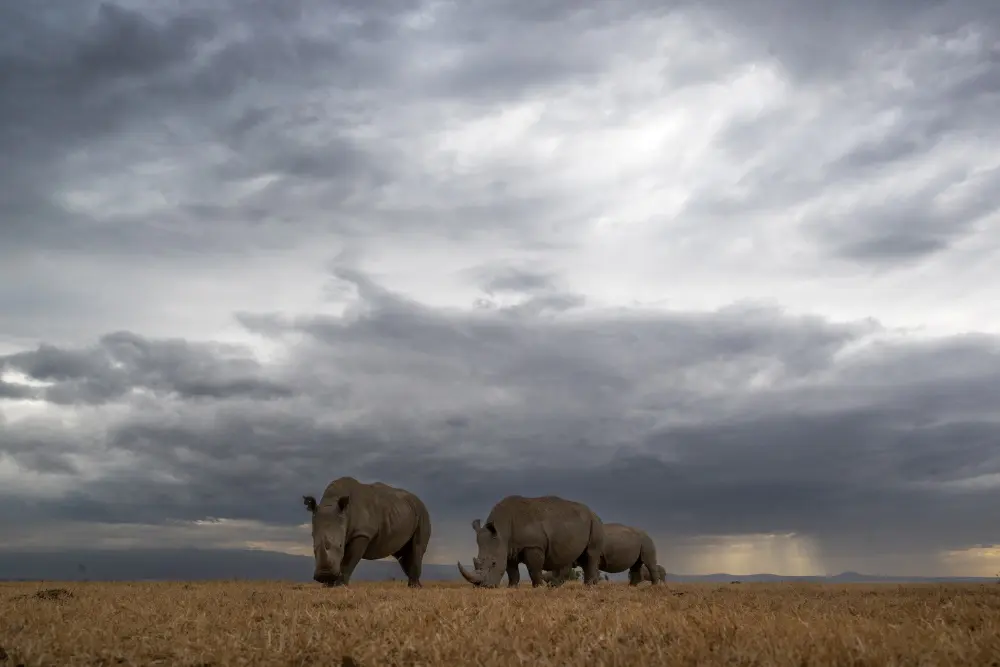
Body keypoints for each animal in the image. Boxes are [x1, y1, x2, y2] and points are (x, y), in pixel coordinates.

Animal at [302, 476, 432, 587]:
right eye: (314, 548)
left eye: (340, 545)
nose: (324, 576)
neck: (331, 502)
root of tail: (419, 501)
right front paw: (328, 586)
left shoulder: (362, 533)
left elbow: (348, 560)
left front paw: (340, 585)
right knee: (402, 554)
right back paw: (415, 586)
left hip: (422, 513)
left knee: (417, 547)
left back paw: (415, 587)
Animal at [457, 495, 605, 588]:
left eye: (493, 563)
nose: (483, 587)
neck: (502, 529)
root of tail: (594, 512)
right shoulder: (509, 548)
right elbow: (512, 571)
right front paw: (512, 587)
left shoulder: (533, 545)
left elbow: (534, 569)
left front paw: (538, 587)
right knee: (578, 558)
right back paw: (559, 586)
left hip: (595, 523)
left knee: (591, 554)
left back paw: (590, 586)